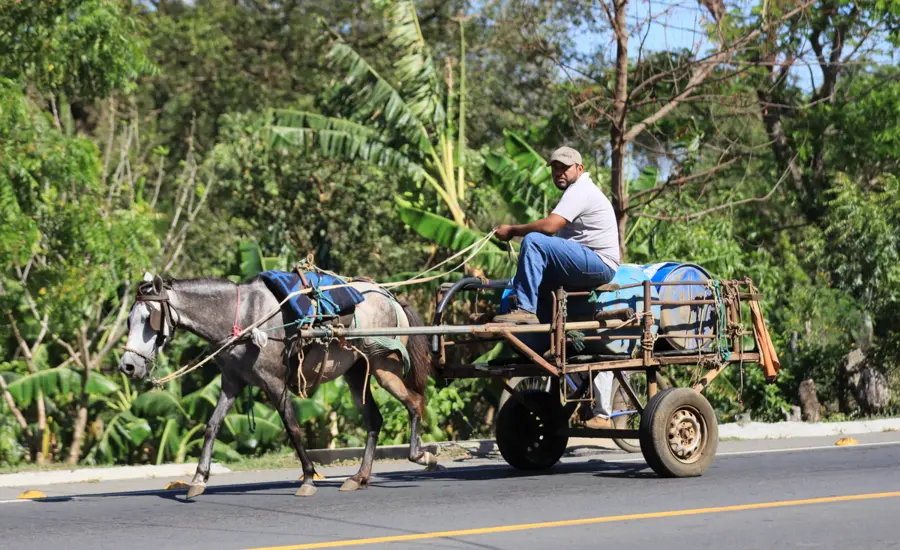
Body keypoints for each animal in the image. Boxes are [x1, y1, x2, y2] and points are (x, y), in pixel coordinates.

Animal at [118, 272, 435, 498]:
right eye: (129, 320)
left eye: (149, 318)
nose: (128, 365)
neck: (242, 317)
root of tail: (390, 297)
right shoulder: (232, 381)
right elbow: (212, 426)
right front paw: (198, 479)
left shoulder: (274, 382)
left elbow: (292, 428)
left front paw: (308, 477)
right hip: (357, 372)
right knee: (374, 419)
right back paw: (360, 477)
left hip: (383, 366)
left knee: (414, 403)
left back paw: (421, 456)